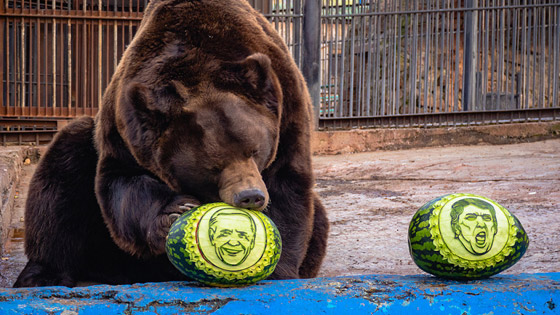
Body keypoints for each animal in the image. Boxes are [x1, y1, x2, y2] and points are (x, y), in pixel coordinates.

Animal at [14, 0, 328, 288]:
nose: (250, 196)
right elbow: (122, 184)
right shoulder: (125, 128)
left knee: (319, 220)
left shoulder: (287, 114)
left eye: (255, 151)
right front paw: (174, 211)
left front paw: (275, 270)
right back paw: (41, 275)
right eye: (214, 165)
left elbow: (288, 190)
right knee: (62, 173)